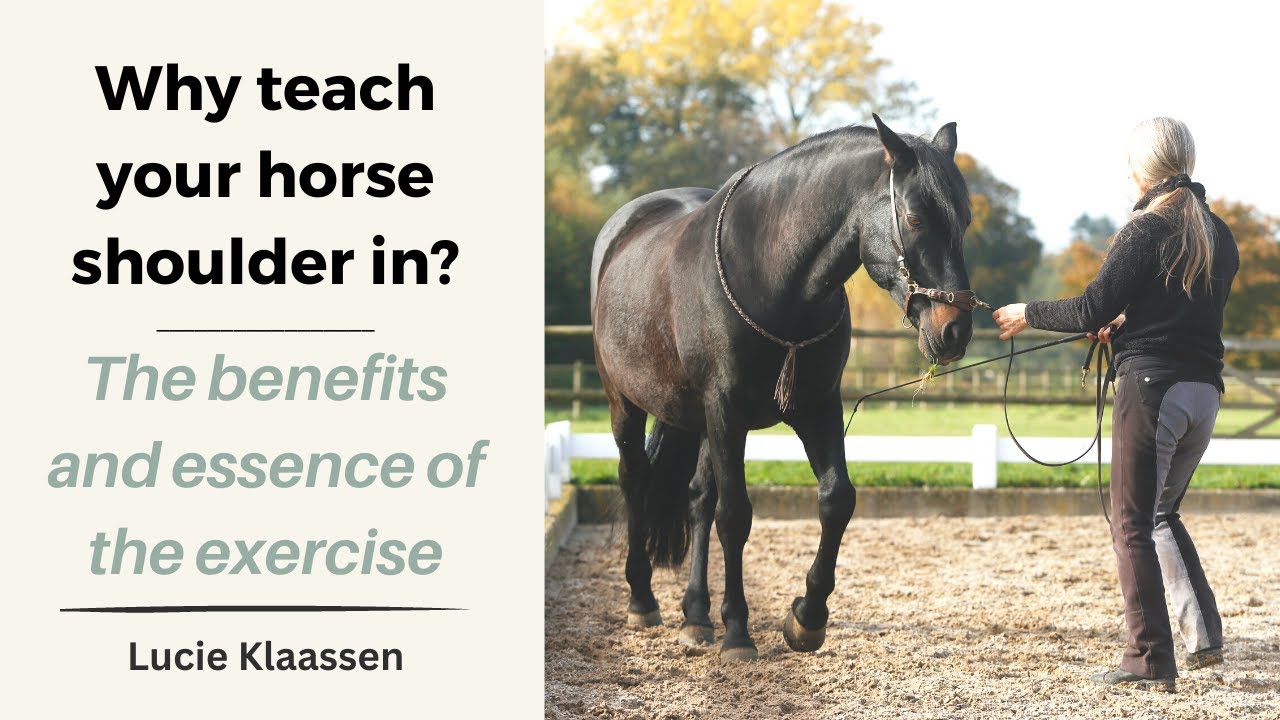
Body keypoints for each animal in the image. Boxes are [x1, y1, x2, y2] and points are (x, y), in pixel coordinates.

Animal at [589, 114, 979, 661]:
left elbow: (837, 499)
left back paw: (696, 615)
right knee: (635, 481)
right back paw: (643, 600)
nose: (954, 331)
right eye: (916, 218)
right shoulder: (725, 411)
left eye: (964, 221)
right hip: (624, 403)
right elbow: (735, 515)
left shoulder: (818, 407)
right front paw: (738, 631)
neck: (772, 276)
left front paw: (806, 619)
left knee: (697, 499)